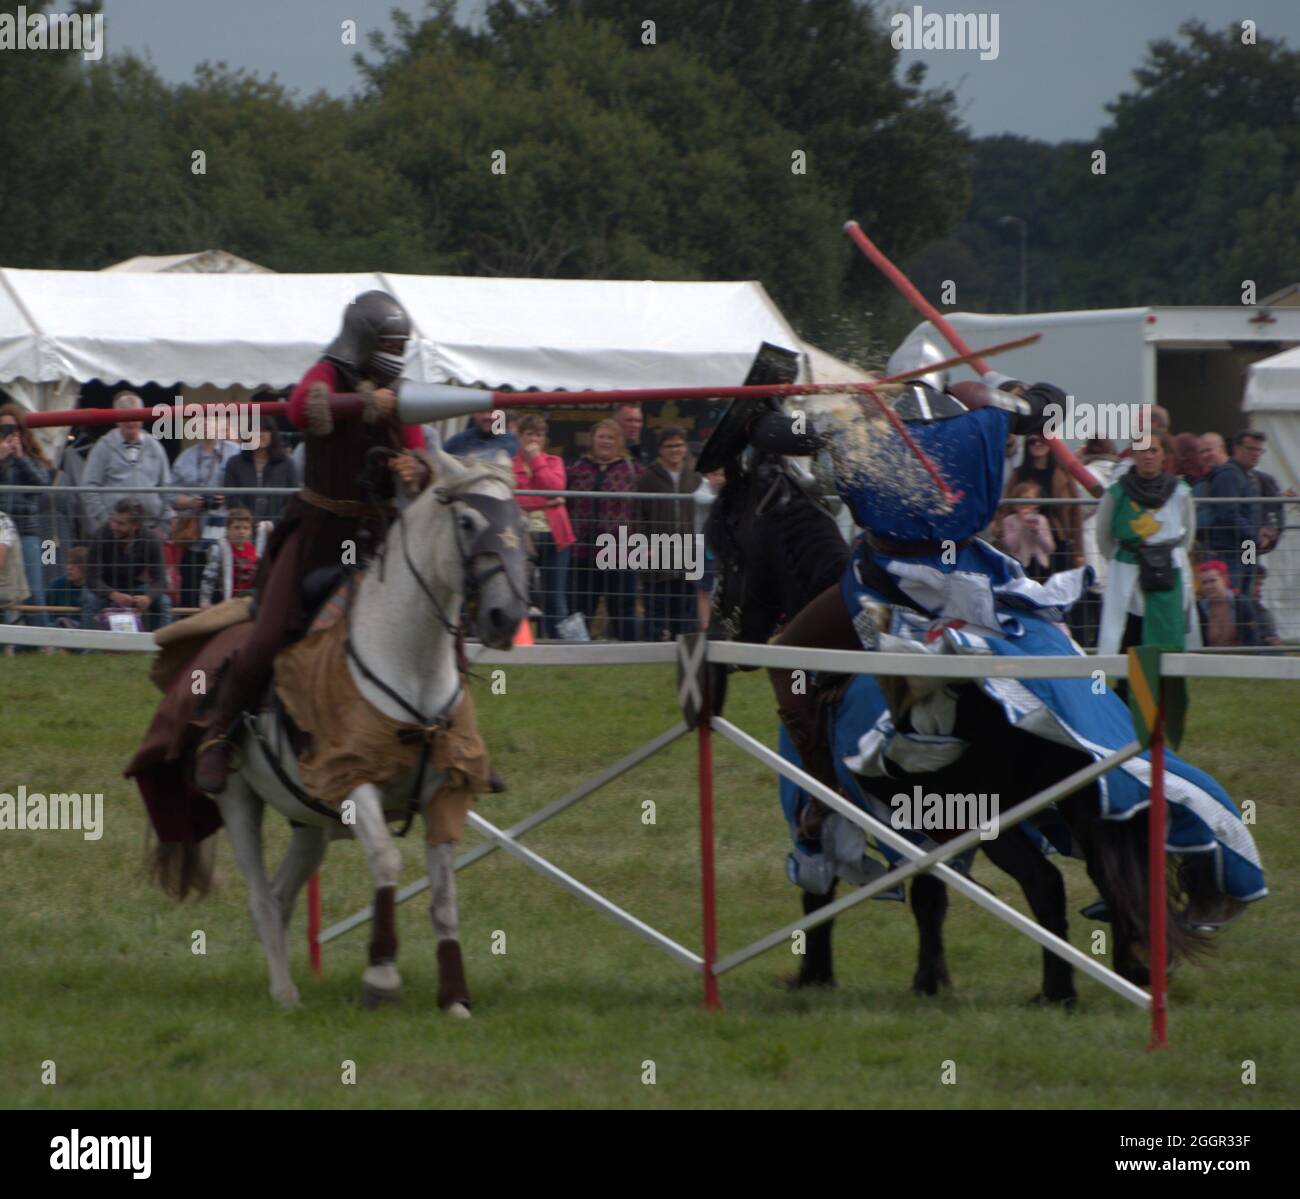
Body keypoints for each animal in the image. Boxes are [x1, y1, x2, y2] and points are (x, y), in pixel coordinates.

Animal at [150, 447, 533, 1009]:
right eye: (466, 521)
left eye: (520, 523)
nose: (507, 616)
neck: (408, 662)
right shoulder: (354, 781)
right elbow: (387, 861)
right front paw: (381, 977)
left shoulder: (444, 793)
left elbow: (444, 899)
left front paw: (454, 998)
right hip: (239, 801)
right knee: (261, 897)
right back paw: (286, 993)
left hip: (308, 820)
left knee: (280, 897)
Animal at [707, 447, 1222, 998]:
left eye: (725, 538)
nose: (722, 628)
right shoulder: (923, 824)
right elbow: (930, 894)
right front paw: (929, 980)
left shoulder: (826, 804)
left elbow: (819, 889)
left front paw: (814, 974)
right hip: (1077, 802)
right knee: (1111, 878)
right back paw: (1130, 971)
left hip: (984, 812)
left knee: (1046, 883)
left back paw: (1057, 990)